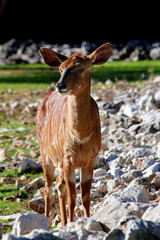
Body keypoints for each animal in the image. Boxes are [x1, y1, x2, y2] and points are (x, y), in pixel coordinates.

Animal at [36, 42, 112, 225]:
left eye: (80, 68)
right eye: (61, 68)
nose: (60, 85)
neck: (80, 135)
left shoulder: (90, 160)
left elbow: (85, 197)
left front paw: (85, 221)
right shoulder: (68, 159)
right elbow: (72, 198)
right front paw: (72, 223)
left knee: (58, 184)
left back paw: (62, 223)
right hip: (46, 154)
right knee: (48, 188)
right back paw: (47, 222)